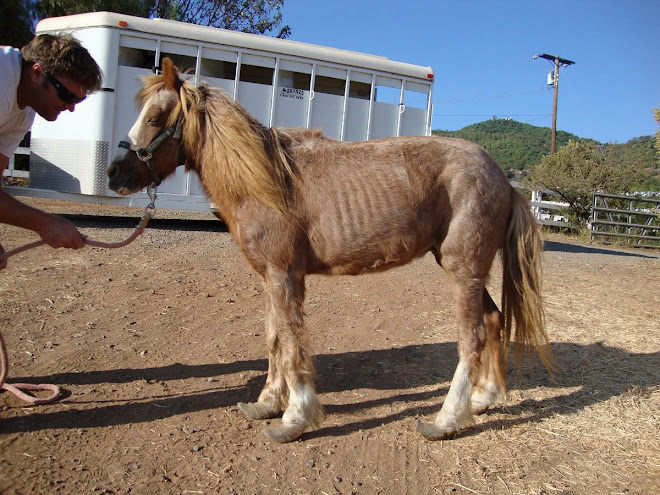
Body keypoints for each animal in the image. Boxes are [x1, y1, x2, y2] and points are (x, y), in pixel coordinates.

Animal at [107, 57, 552, 443]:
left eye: (153, 118)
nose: (114, 174)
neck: (268, 181)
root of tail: (503, 179)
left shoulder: (285, 275)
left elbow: (291, 341)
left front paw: (295, 418)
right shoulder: (270, 277)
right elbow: (274, 337)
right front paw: (268, 403)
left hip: (464, 270)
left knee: (471, 336)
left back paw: (446, 419)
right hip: (468, 270)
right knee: (493, 322)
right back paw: (483, 398)